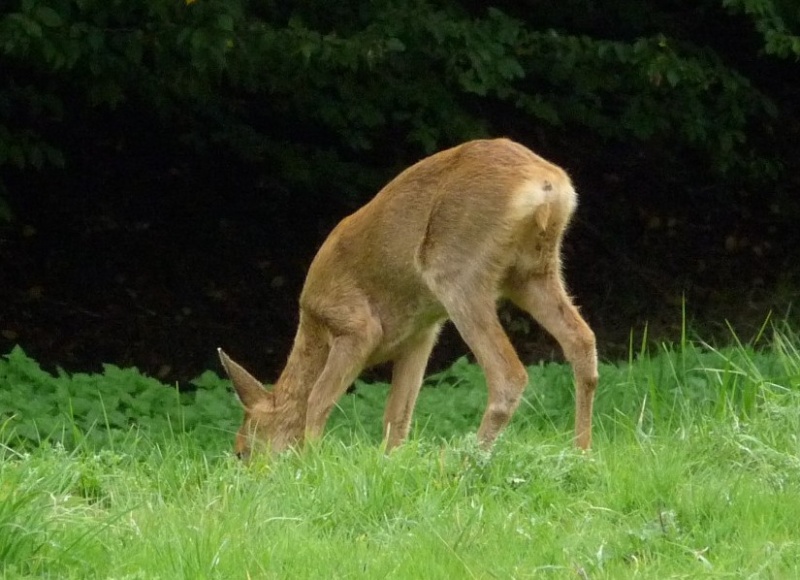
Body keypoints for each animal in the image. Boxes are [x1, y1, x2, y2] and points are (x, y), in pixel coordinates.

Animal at [216, 138, 596, 460]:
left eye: (241, 451)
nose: (248, 471)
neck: (314, 328)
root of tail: (548, 184)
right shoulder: (421, 333)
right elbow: (398, 413)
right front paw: (389, 463)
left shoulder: (356, 325)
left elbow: (318, 400)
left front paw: (310, 466)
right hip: (531, 272)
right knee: (581, 340)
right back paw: (580, 453)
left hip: (456, 269)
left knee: (509, 374)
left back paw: (463, 461)